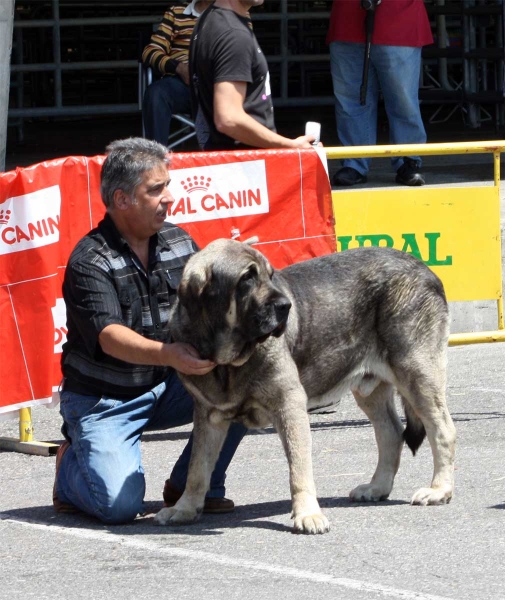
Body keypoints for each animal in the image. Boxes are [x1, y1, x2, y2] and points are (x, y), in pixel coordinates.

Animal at [155, 239, 456, 536]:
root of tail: (421, 266)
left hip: (416, 372)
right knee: (391, 433)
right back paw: (377, 488)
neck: (228, 361)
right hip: (371, 389)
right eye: (247, 278)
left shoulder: (289, 404)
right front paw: (184, 508)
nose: (285, 306)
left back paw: (439, 490)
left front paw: (308, 514)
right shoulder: (208, 416)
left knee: (442, 429)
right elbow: (197, 468)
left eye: (270, 275)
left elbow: (298, 468)